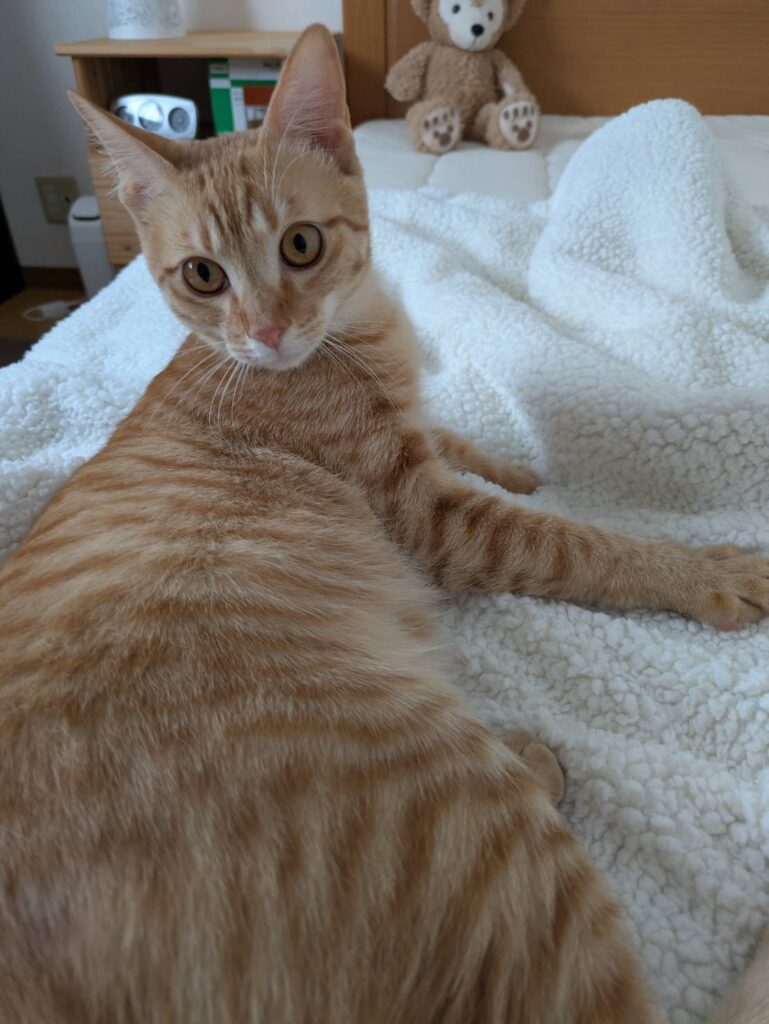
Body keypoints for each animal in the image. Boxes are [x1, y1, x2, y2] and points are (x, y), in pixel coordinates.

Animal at [0, 22, 767, 1024]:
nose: (264, 333)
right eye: (203, 276)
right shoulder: (433, 519)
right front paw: (704, 570)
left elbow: (453, 434)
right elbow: (579, 544)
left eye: (299, 245)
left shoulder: (417, 435)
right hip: (454, 809)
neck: (351, 333)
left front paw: (516, 464)